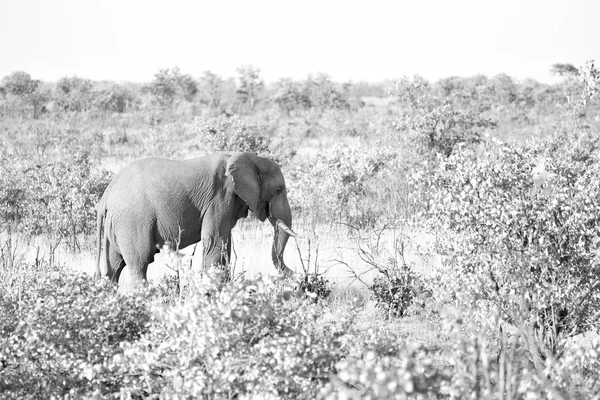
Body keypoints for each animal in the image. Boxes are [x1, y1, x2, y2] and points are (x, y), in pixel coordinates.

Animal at [94, 152, 298, 290]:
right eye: (278, 190)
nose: (297, 276)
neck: (249, 158)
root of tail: (106, 196)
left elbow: (225, 244)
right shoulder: (220, 198)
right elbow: (215, 242)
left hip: (117, 224)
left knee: (114, 268)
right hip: (132, 221)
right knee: (139, 263)